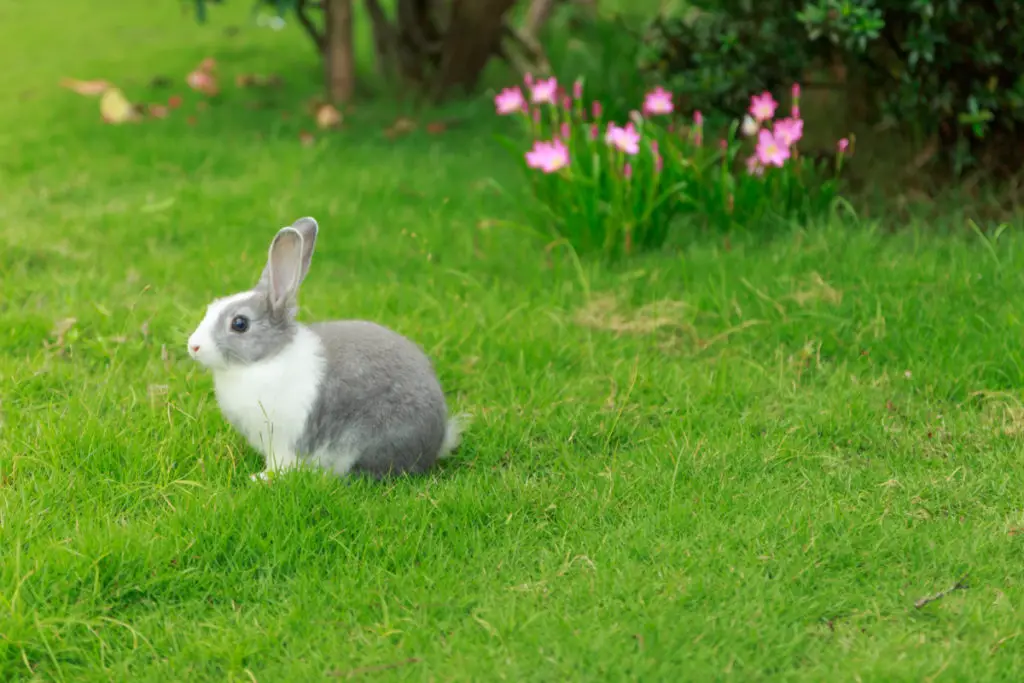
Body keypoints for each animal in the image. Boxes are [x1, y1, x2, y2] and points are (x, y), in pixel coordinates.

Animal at [186, 218, 466, 481]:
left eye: (239, 323)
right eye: (212, 307)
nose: (193, 346)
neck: (266, 359)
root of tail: (439, 439)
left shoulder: (284, 439)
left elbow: (280, 464)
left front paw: (261, 479)